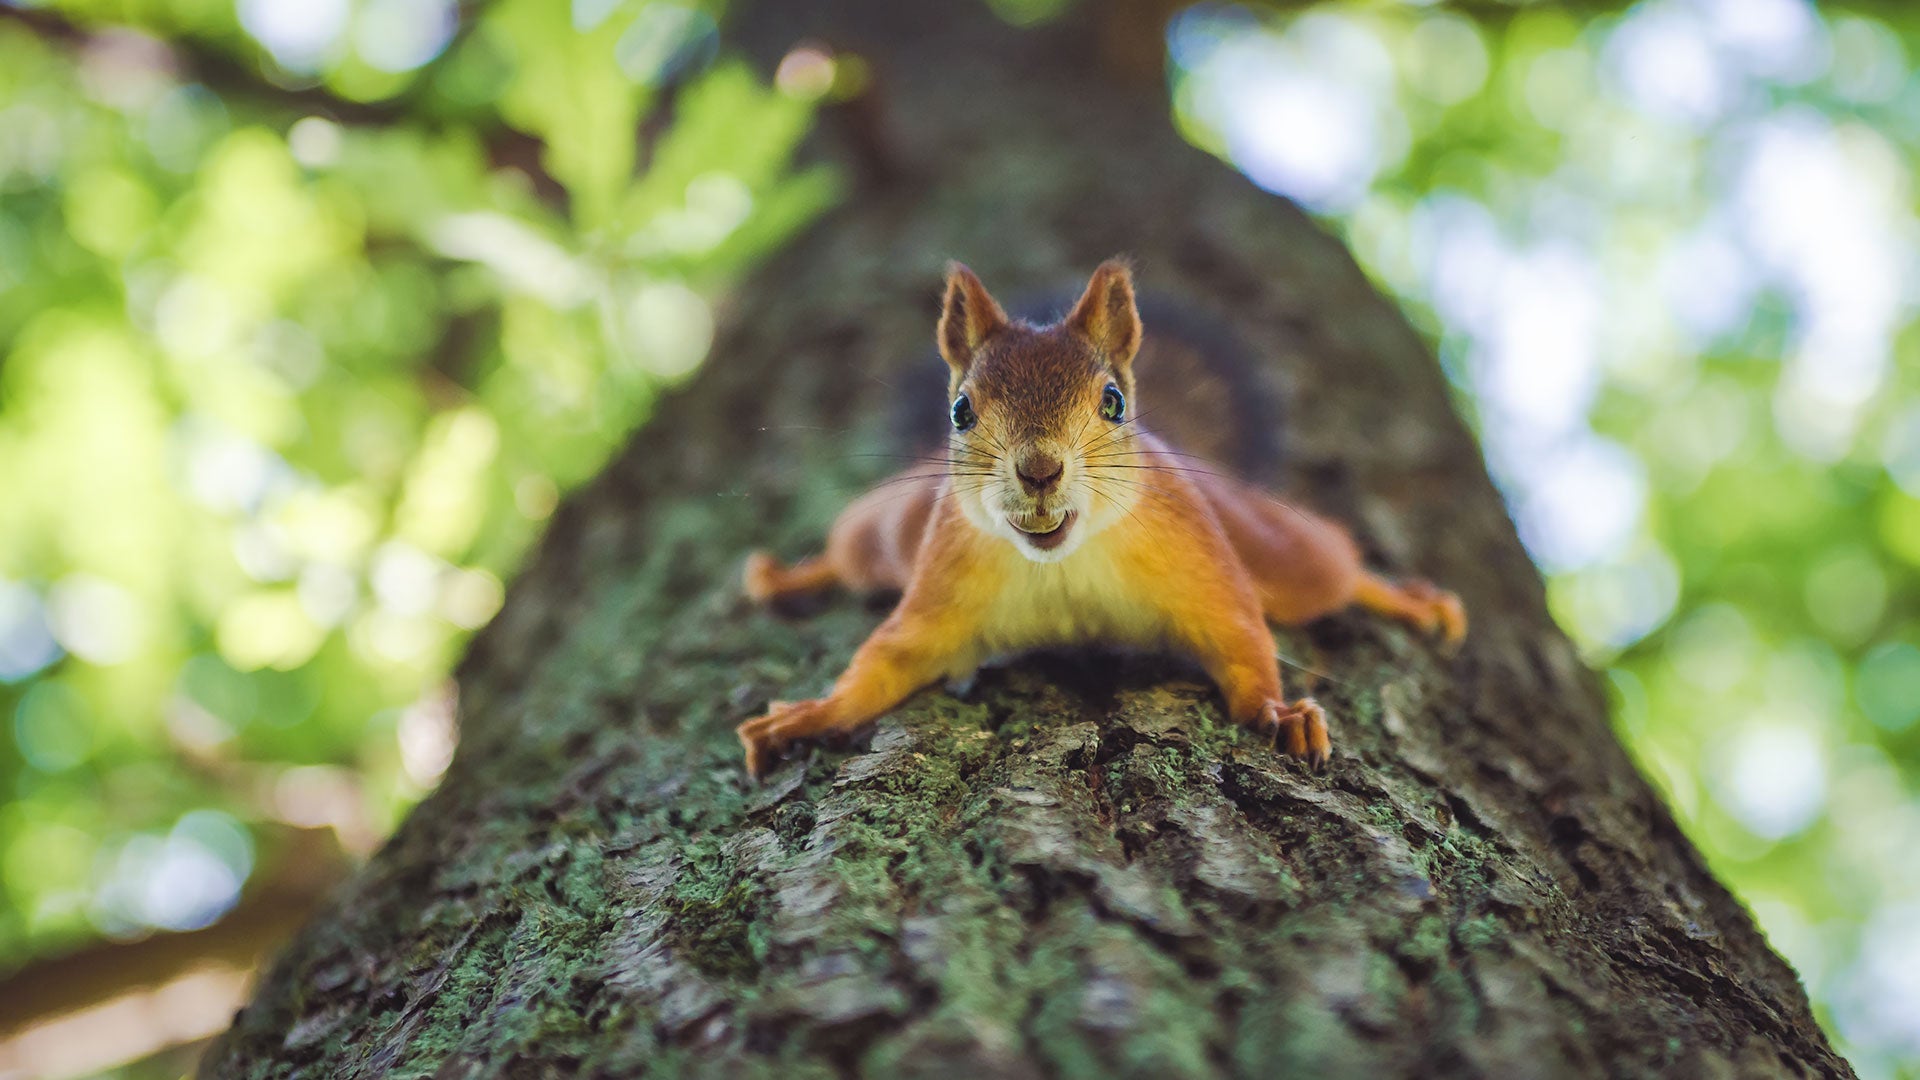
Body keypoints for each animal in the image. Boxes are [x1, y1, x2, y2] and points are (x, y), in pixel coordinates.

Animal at [741, 261, 1459, 780]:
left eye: (1112, 401)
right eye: (960, 411)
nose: (1039, 470)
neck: (1063, 562)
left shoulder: (1201, 562)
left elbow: (1242, 636)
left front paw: (1281, 712)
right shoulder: (941, 583)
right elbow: (886, 661)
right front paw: (808, 717)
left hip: (1271, 546)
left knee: (1331, 571)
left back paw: (1414, 603)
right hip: (889, 528)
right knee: (847, 554)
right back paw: (786, 578)